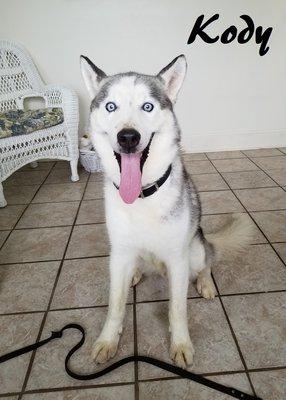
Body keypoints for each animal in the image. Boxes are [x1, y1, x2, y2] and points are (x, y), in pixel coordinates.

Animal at [79, 54, 251, 368]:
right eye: (111, 106)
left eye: (148, 106)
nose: (128, 137)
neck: (141, 196)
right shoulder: (119, 254)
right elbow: (115, 304)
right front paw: (108, 340)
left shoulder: (177, 259)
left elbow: (177, 309)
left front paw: (181, 343)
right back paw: (136, 274)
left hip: (195, 249)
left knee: (207, 261)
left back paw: (206, 283)